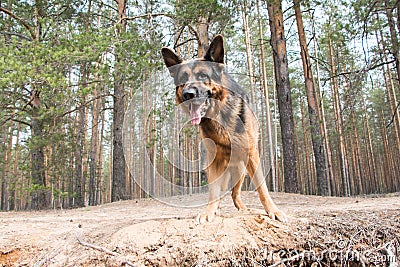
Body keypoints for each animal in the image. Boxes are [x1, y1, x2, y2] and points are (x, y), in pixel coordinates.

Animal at [161, 35, 286, 224]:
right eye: (183, 78)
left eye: (203, 75)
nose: (188, 94)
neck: (220, 115)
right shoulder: (214, 161)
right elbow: (213, 192)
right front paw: (209, 212)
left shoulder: (252, 155)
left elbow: (262, 188)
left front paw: (273, 210)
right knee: (222, 192)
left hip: (241, 170)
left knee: (235, 193)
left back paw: (242, 208)